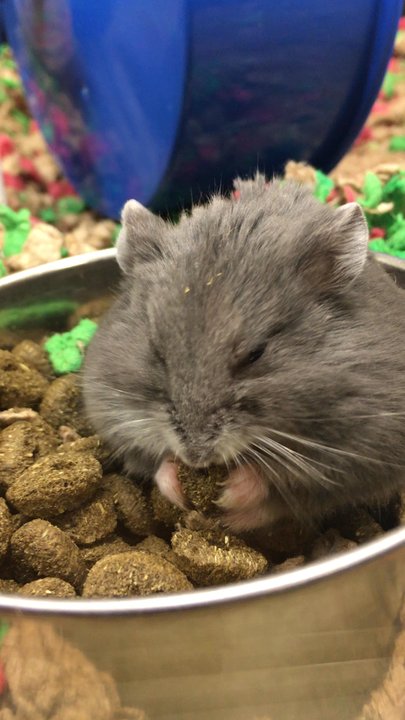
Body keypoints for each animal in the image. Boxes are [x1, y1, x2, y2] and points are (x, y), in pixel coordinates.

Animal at [83, 174, 405, 532]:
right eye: (156, 350)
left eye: (256, 353)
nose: (196, 457)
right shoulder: (111, 410)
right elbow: (154, 462)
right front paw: (177, 486)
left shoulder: (361, 451)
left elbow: (280, 489)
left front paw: (231, 494)